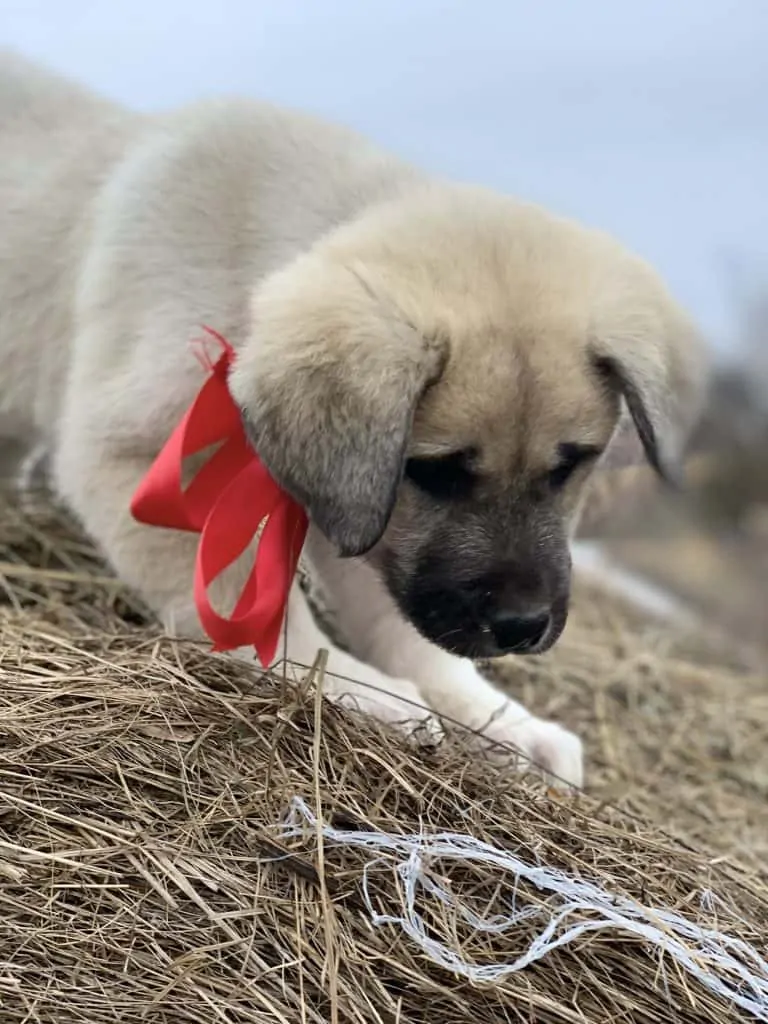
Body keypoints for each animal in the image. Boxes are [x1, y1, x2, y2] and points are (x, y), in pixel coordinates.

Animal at [0, 54, 708, 782]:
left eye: (571, 465)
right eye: (438, 471)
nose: (521, 626)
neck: (253, 269)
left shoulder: (363, 509)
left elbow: (403, 626)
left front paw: (497, 721)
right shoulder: (148, 462)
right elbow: (242, 596)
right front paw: (349, 686)